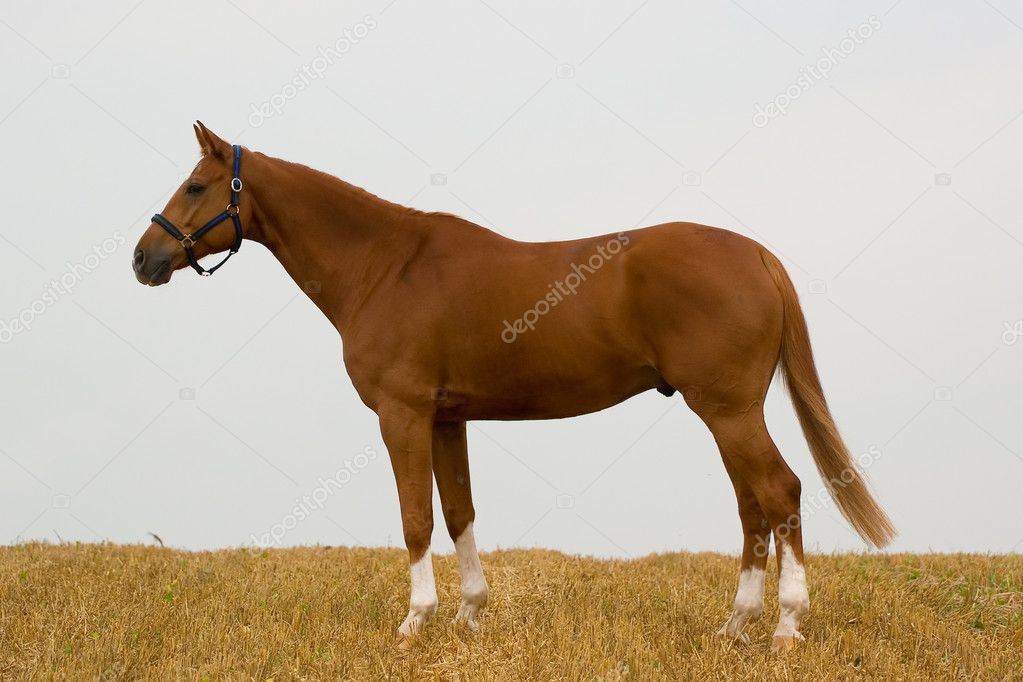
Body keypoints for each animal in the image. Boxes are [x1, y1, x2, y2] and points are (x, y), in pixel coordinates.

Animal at [132, 122, 895, 652]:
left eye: (195, 186)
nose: (144, 258)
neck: (385, 265)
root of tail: (756, 255)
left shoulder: (401, 415)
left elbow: (415, 518)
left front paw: (414, 623)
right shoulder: (448, 418)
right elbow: (459, 512)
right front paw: (469, 617)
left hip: (729, 411)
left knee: (779, 493)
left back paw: (785, 627)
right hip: (728, 415)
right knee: (752, 508)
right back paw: (734, 627)